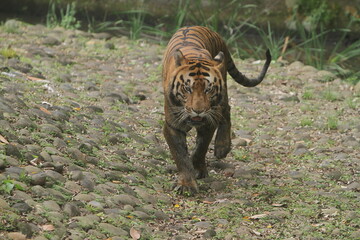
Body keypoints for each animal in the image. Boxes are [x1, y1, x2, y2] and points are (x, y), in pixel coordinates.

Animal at [162, 25, 272, 195]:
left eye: (208, 89)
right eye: (187, 88)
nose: (198, 110)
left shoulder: (209, 122)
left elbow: (201, 148)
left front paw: (198, 169)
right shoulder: (172, 126)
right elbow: (181, 157)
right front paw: (187, 184)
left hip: (223, 93)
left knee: (227, 110)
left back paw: (222, 147)